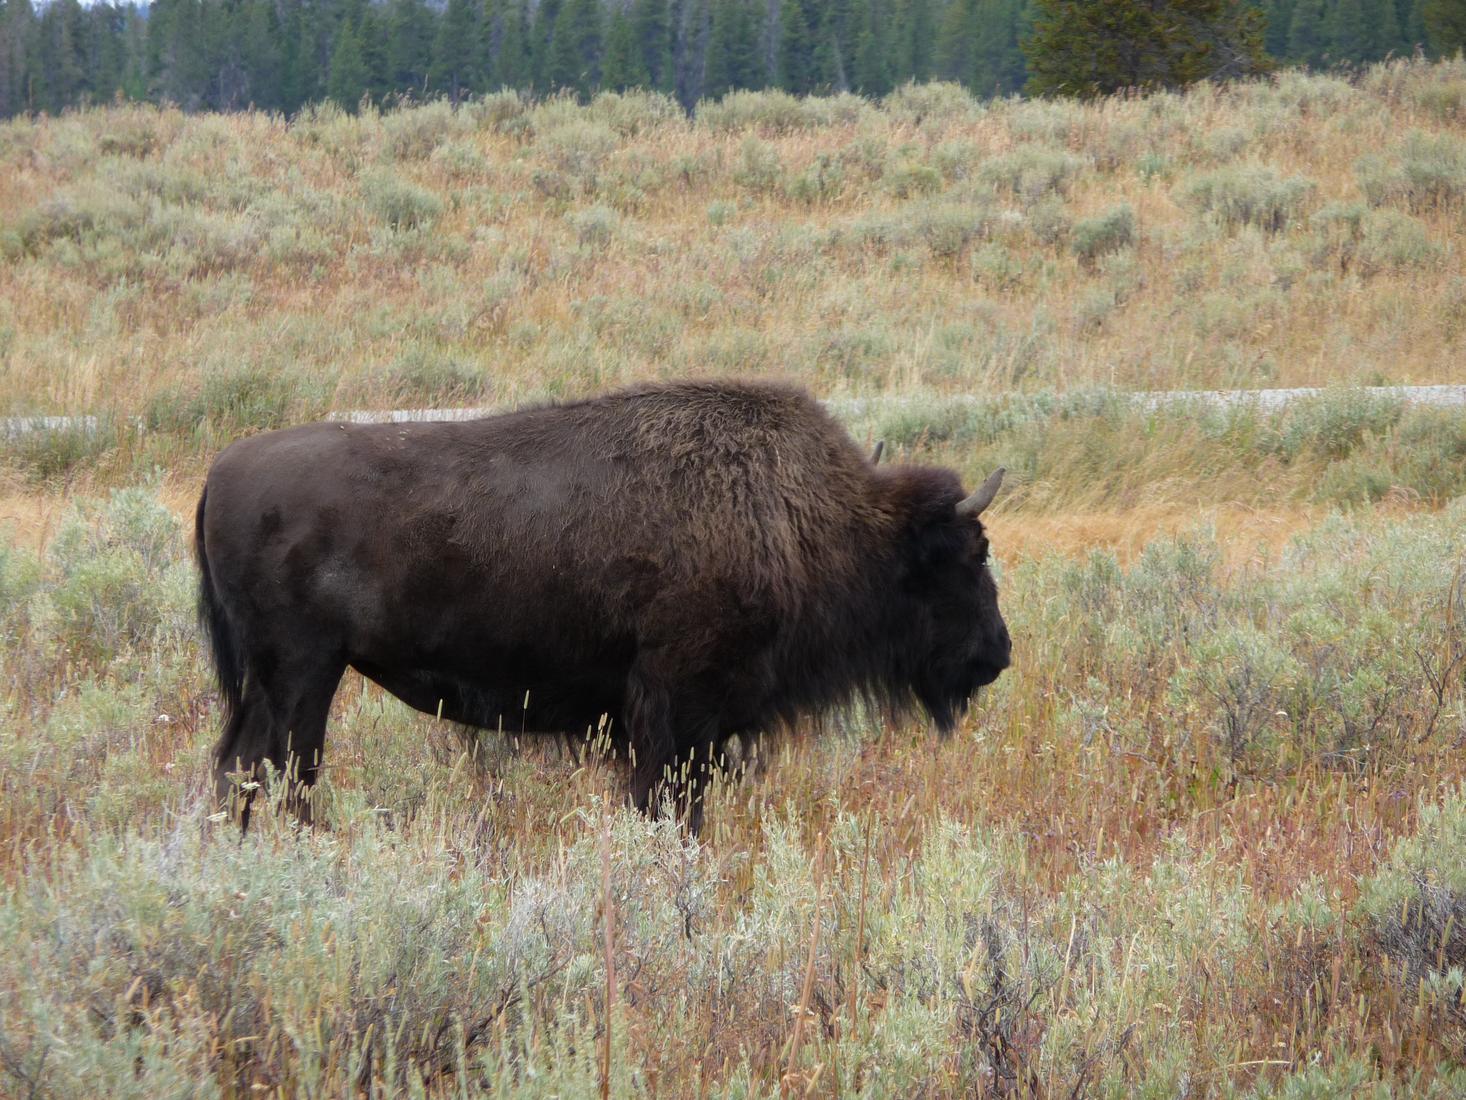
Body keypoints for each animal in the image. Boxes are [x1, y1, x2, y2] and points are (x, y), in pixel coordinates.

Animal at [195, 379, 1010, 830]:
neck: (804, 517)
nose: (998, 653)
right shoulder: (677, 715)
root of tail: (221, 471)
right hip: (304, 675)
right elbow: (669, 807)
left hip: (273, 684)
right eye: (971, 554)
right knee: (282, 773)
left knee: (239, 769)